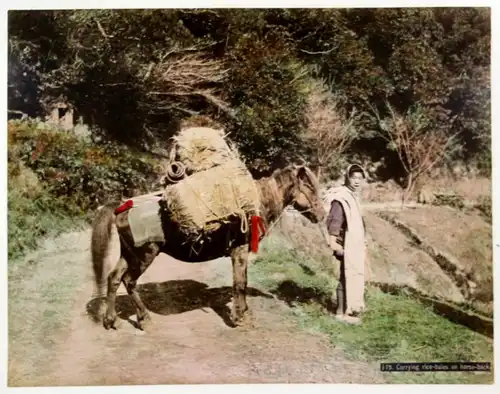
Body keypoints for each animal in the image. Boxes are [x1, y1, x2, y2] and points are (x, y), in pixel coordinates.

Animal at [91, 162, 326, 330]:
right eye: (308, 186)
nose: (322, 214)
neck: (254, 205)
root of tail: (123, 205)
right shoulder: (239, 251)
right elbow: (240, 283)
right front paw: (239, 317)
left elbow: (241, 281)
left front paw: (244, 313)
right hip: (144, 255)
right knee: (129, 281)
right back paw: (144, 318)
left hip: (129, 254)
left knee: (114, 279)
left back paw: (111, 320)